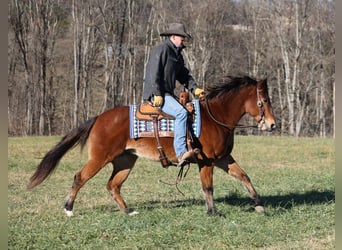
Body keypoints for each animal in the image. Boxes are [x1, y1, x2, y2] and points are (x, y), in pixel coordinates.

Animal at [28, 75, 276, 216]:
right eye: (263, 101)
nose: (272, 124)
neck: (214, 117)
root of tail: (99, 117)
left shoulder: (223, 159)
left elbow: (244, 176)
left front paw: (259, 205)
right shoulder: (206, 162)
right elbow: (208, 187)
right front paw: (213, 212)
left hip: (125, 161)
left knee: (113, 185)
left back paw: (127, 211)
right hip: (100, 158)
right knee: (80, 177)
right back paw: (68, 209)